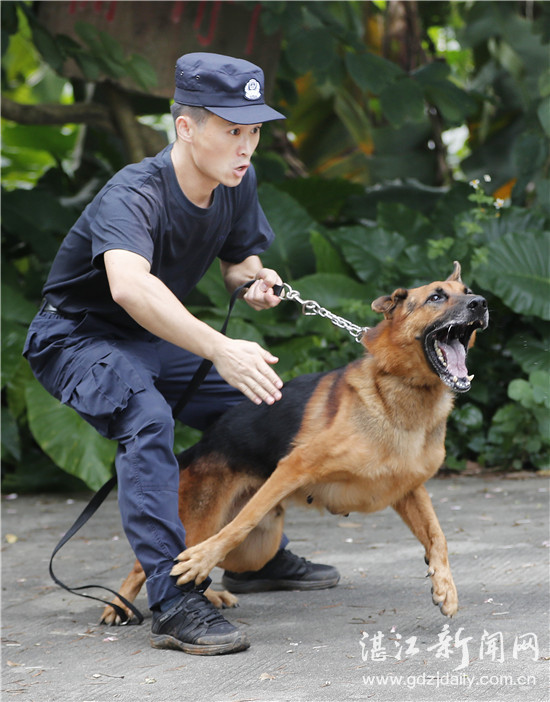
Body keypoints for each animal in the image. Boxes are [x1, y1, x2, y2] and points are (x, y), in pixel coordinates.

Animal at [101, 266, 490, 628]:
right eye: (436, 297)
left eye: (467, 290)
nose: (482, 303)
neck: (402, 390)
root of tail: (199, 446)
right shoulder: (294, 466)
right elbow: (243, 521)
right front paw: (199, 560)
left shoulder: (409, 488)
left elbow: (437, 536)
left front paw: (445, 587)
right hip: (202, 523)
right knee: (148, 563)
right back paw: (120, 604)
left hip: (257, 550)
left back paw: (209, 593)